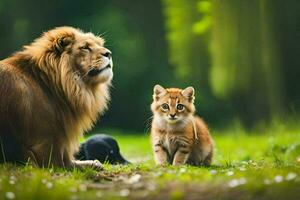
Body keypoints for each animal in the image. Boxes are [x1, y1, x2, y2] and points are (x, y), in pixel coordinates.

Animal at [0, 26, 112, 169]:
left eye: (99, 45)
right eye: (85, 47)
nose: (109, 53)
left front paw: (96, 163)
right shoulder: (46, 150)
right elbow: (65, 165)